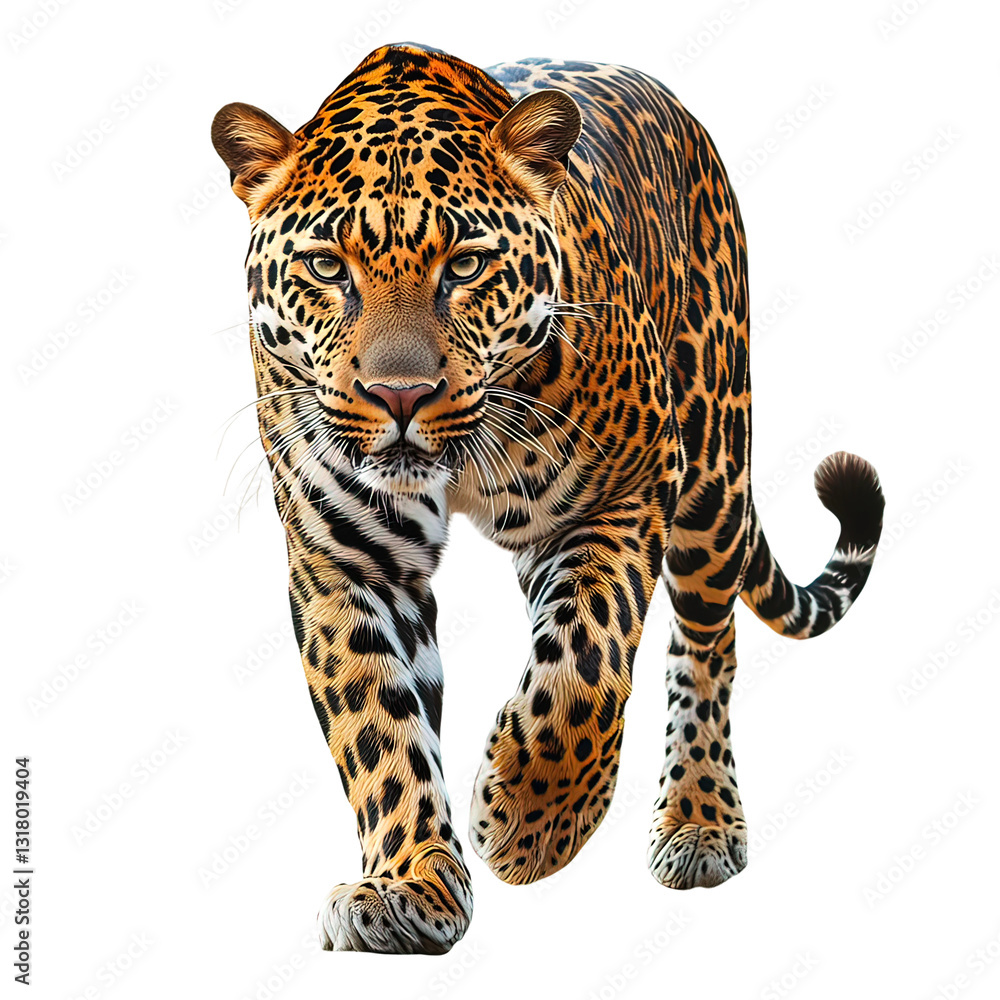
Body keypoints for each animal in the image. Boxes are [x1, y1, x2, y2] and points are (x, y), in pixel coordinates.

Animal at [212, 42, 884, 955]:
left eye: (464, 265)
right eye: (326, 267)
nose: (400, 395)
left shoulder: (624, 494)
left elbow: (584, 667)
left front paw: (532, 824)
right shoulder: (346, 562)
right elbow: (379, 729)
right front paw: (408, 883)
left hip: (712, 469)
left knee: (706, 648)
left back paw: (699, 822)